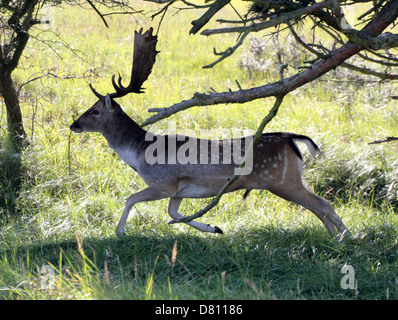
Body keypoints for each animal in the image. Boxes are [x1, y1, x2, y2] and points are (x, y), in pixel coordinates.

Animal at [70, 28, 350, 240]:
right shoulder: (178, 191)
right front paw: (214, 228)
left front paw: (120, 232)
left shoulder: (163, 182)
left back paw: (345, 239)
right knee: (319, 209)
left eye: (95, 110)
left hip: (283, 181)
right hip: (287, 182)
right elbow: (174, 214)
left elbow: (130, 198)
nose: (74, 124)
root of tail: (291, 138)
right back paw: (335, 238)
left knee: (324, 205)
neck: (139, 155)